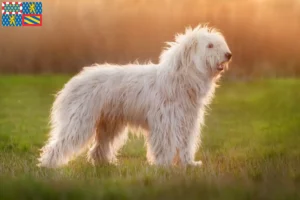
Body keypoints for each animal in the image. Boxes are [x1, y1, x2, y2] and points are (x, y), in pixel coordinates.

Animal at [38, 25, 232, 168]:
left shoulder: (187, 122)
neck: (181, 78)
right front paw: (165, 165)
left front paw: (189, 164)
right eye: (210, 45)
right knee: (59, 144)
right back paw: (48, 165)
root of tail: (73, 82)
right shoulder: (166, 122)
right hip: (80, 122)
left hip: (109, 124)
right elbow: (166, 144)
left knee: (99, 147)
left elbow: (186, 144)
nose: (228, 55)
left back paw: (105, 164)